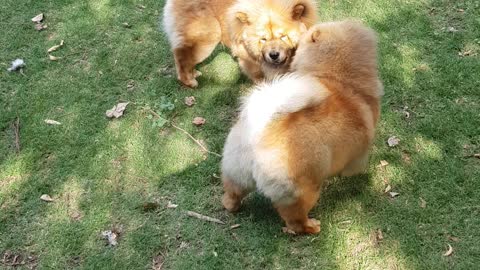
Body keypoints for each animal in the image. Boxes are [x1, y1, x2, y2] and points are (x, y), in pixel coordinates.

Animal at [163, 0, 316, 87]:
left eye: (283, 37)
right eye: (263, 39)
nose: (273, 55)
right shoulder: (246, 56)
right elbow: (258, 74)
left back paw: (193, 74)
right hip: (208, 38)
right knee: (182, 56)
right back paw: (189, 81)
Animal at [220, 20, 382, 233]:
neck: (336, 77)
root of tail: (261, 130)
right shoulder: (359, 152)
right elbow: (355, 166)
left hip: (236, 171)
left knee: (231, 196)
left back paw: (232, 206)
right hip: (305, 189)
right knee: (295, 221)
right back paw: (312, 227)